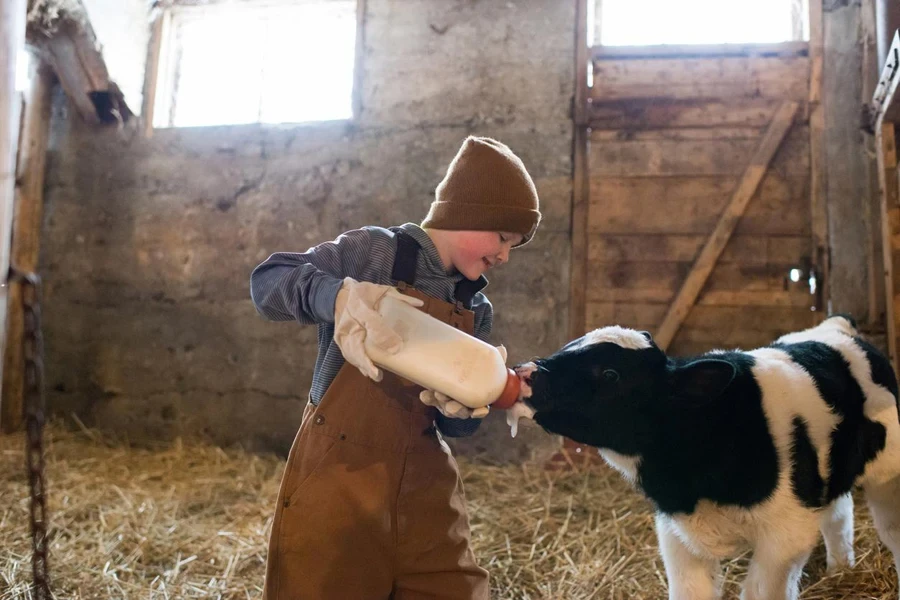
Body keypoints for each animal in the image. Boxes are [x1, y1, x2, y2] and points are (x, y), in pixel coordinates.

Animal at [512, 314, 900, 600]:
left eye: (610, 374)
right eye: (569, 346)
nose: (526, 373)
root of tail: (837, 326)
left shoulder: (787, 535)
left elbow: (760, 591)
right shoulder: (676, 537)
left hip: (887, 472)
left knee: (889, 527)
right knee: (839, 514)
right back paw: (841, 569)